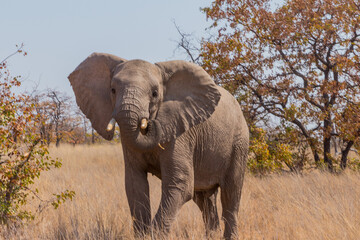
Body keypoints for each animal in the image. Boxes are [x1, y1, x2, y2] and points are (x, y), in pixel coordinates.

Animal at [68, 53, 248, 240]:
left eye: (155, 94)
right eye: (112, 90)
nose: (151, 122)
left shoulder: (180, 133)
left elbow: (180, 183)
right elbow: (135, 183)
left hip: (239, 142)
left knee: (231, 193)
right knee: (204, 199)